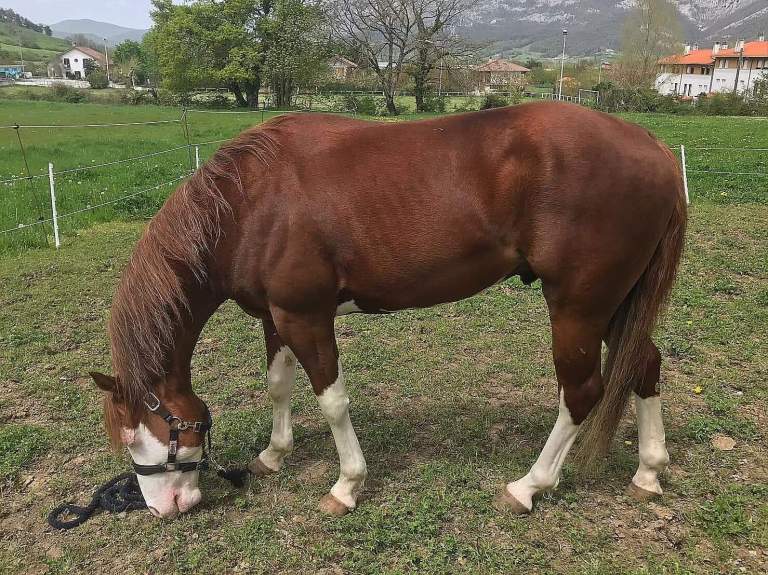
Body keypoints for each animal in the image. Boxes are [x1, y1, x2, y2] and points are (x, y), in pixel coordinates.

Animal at [90, 102, 686, 519]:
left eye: (143, 437)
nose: (163, 509)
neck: (250, 204)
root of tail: (655, 149)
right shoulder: (274, 316)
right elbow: (279, 386)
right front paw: (274, 455)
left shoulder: (306, 316)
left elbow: (332, 401)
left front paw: (346, 486)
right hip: (615, 306)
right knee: (644, 366)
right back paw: (648, 473)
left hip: (578, 308)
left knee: (582, 393)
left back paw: (528, 487)